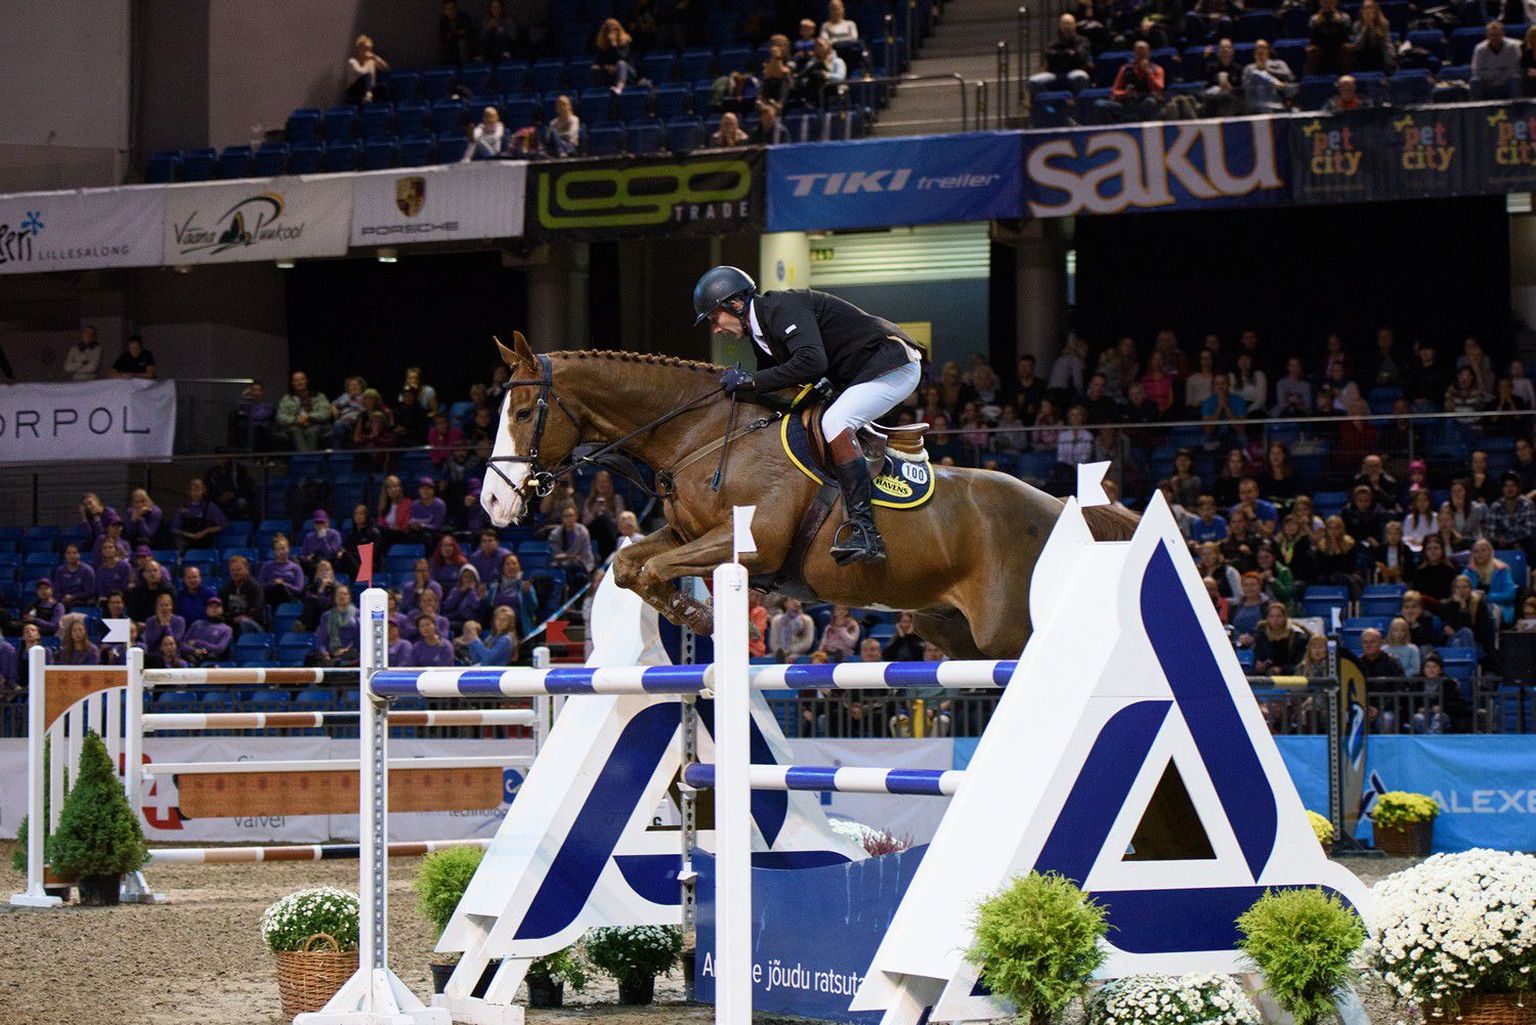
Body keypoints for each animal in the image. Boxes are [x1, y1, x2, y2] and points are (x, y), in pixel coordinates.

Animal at [482, 333, 1142, 660]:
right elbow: (628, 564)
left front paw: (707, 621)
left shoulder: (754, 546)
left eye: (523, 411)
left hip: (1010, 633)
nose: (491, 504)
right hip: (957, 635)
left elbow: (656, 570)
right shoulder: (689, 533)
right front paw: (697, 618)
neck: (699, 434)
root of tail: (1064, 509)